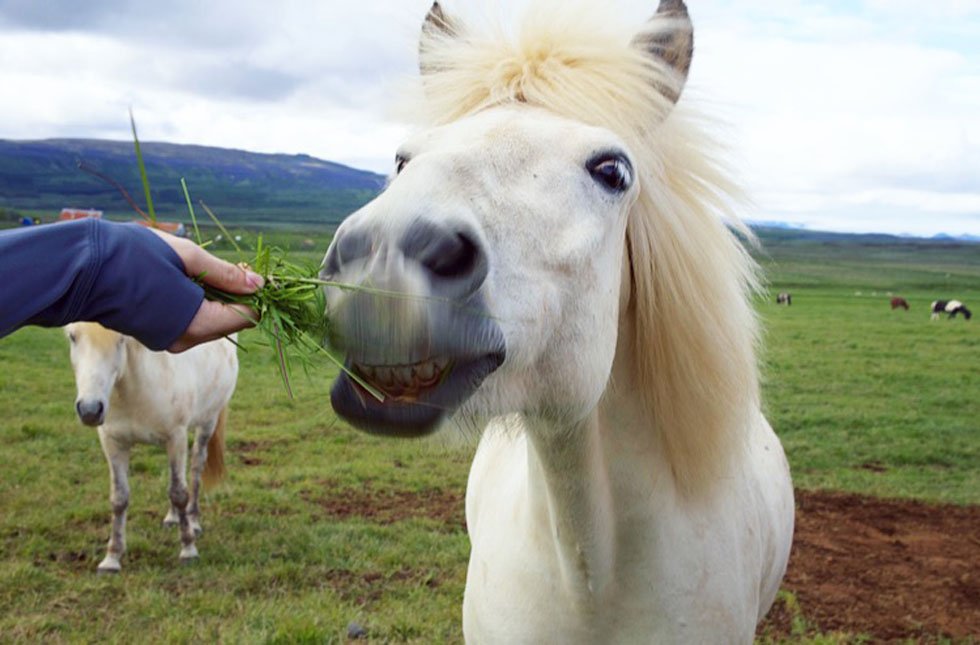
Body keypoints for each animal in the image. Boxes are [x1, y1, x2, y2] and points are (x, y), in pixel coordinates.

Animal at [63, 322, 237, 572]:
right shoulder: (113, 443)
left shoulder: (176, 437)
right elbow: (119, 498)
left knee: (195, 469)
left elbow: (179, 493)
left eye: (121, 339)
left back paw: (193, 521)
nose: (90, 409)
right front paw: (112, 558)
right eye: (73, 337)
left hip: (207, 422)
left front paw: (188, 549)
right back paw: (173, 518)